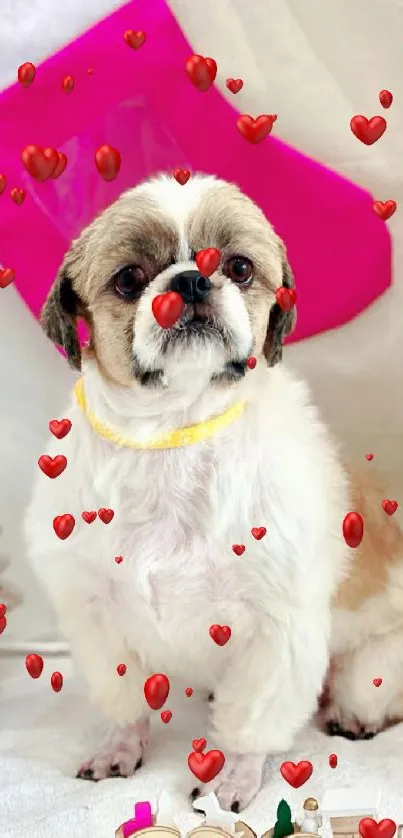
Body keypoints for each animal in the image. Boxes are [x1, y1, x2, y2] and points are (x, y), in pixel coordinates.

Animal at [22, 172, 403, 812]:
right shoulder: (98, 618)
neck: (172, 436)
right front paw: (119, 748)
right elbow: (125, 702)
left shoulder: (276, 630)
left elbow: (252, 721)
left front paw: (234, 780)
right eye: (129, 278)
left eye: (240, 268)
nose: (192, 279)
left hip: (370, 668)